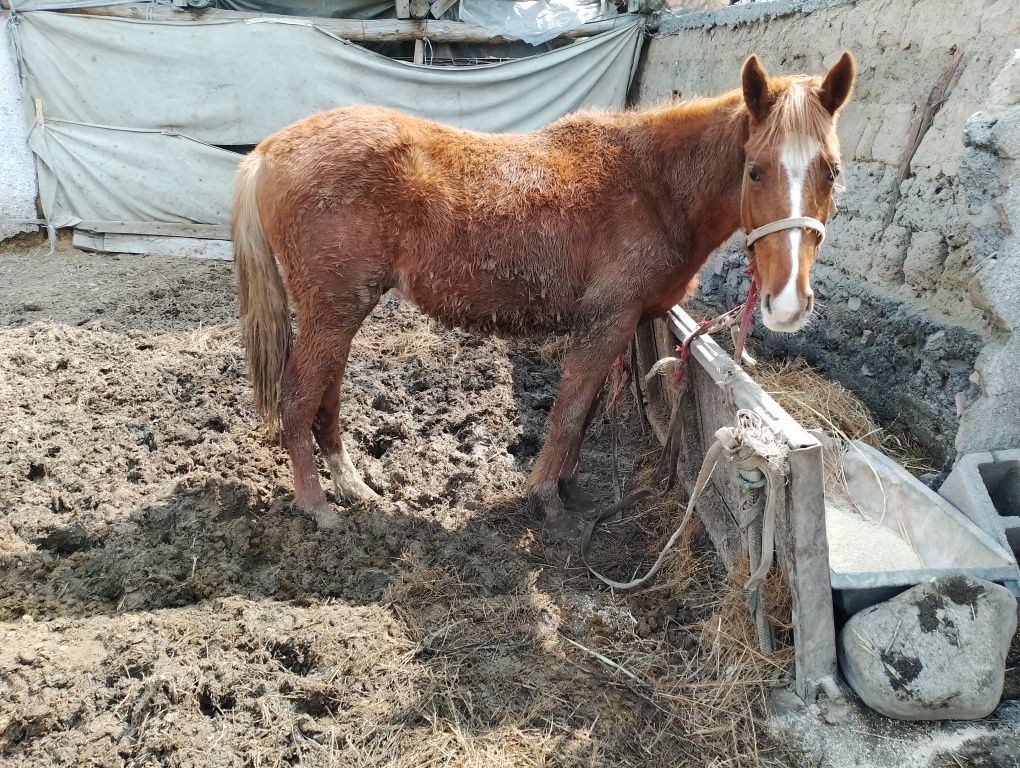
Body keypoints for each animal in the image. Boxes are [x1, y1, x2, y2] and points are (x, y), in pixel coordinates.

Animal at [231, 52, 852, 526]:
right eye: (755, 169)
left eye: (832, 171)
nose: (788, 303)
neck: (654, 185)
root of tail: (269, 151)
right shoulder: (606, 320)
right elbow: (571, 412)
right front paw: (546, 500)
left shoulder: (617, 326)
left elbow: (590, 406)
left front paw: (571, 490)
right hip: (331, 310)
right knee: (298, 397)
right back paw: (318, 508)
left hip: (341, 311)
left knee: (326, 398)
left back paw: (353, 487)